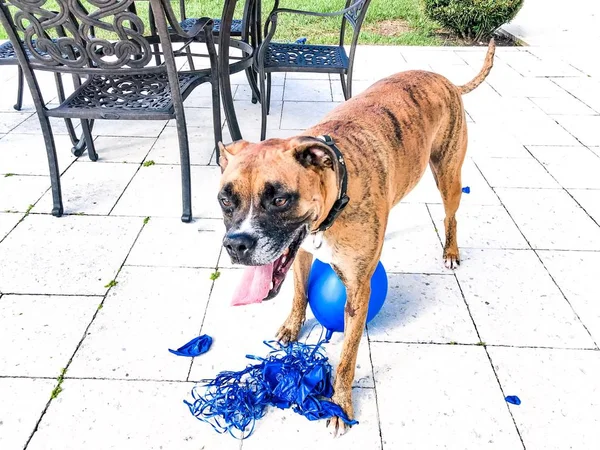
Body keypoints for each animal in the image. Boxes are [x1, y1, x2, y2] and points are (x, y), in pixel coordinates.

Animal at [218, 39, 494, 436]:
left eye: (280, 199)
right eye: (225, 200)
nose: (237, 244)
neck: (335, 196)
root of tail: (446, 81)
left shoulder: (357, 294)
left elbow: (347, 357)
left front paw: (340, 406)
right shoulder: (301, 253)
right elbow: (299, 293)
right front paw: (291, 327)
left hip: (448, 174)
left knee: (450, 214)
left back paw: (451, 251)